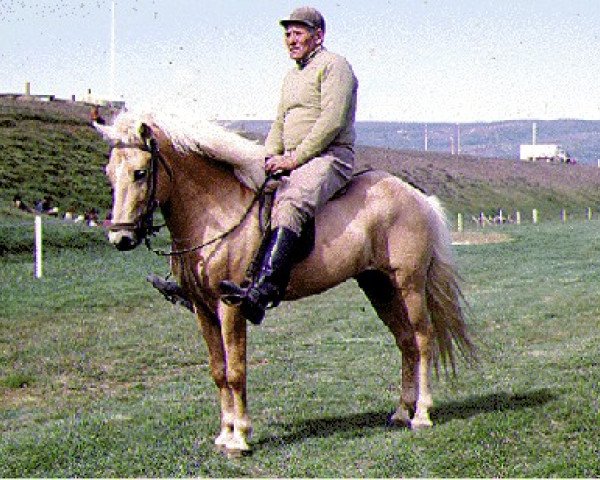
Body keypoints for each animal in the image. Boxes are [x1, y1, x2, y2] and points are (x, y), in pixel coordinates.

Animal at [96, 109, 476, 458]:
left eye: (141, 173)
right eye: (110, 174)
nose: (121, 238)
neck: (215, 214)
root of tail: (417, 197)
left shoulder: (229, 308)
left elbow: (235, 371)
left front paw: (240, 437)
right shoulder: (203, 310)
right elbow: (218, 371)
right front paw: (224, 433)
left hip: (409, 285)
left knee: (423, 340)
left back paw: (422, 414)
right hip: (379, 286)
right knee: (405, 342)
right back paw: (400, 412)